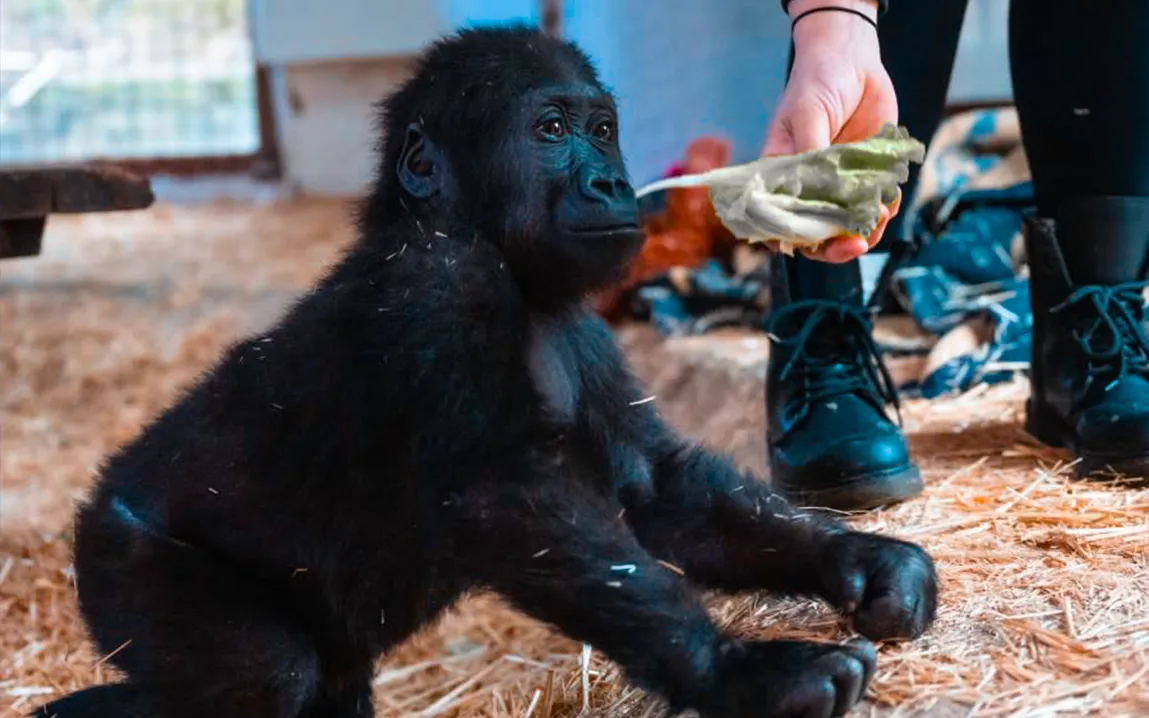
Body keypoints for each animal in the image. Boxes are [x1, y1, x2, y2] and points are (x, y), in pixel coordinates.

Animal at [38, 25, 932, 712]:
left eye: (600, 129)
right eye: (550, 130)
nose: (611, 181)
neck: (485, 239)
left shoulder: (583, 330)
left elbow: (661, 492)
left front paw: (858, 561)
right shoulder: (437, 288)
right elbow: (509, 498)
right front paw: (746, 673)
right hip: (123, 560)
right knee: (264, 675)